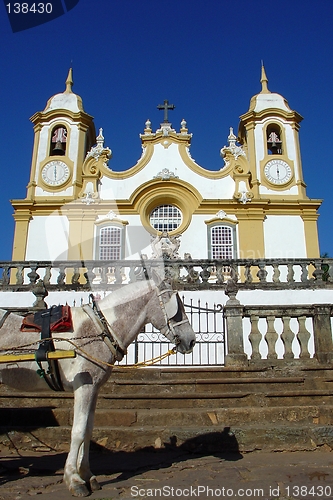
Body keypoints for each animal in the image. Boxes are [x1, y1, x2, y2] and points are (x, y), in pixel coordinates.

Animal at [0, 278, 195, 496]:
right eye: (176, 308)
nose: (191, 340)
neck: (102, 329)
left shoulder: (93, 388)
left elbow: (87, 430)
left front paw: (88, 475)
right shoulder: (84, 385)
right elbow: (78, 431)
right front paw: (74, 479)